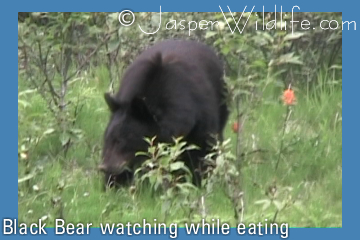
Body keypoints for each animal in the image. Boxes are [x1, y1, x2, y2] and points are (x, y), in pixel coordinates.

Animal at [98, 39, 228, 188]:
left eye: (121, 141)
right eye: (108, 139)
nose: (104, 167)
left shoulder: (200, 119)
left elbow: (203, 150)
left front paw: (198, 183)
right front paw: (112, 185)